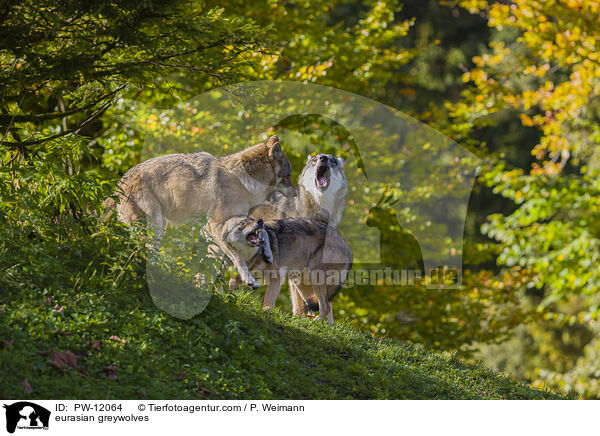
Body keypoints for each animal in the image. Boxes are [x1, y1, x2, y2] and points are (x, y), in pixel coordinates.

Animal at [103, 135, 296, 288]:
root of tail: (119, 182)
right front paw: (249, 280)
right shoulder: (214, 228)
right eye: (288, 176)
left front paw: (268, 253)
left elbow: (262, 229)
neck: (244, 182)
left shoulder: (231, 223)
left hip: (159, 225)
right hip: (155, 226)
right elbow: (238, 258)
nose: (295, 193)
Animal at [221, 215, 352, 322]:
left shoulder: (276, 278)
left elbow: (268, 301)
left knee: (325, 307)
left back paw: (316, 323)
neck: (251, 254)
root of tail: (348, 247)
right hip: (299, 285)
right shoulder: (256, 276)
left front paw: (265, 313)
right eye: (242, 223)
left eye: (251, 220)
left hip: (314, 279)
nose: (260, 221)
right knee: (324, 309)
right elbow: (232, 281)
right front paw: (233, 295)